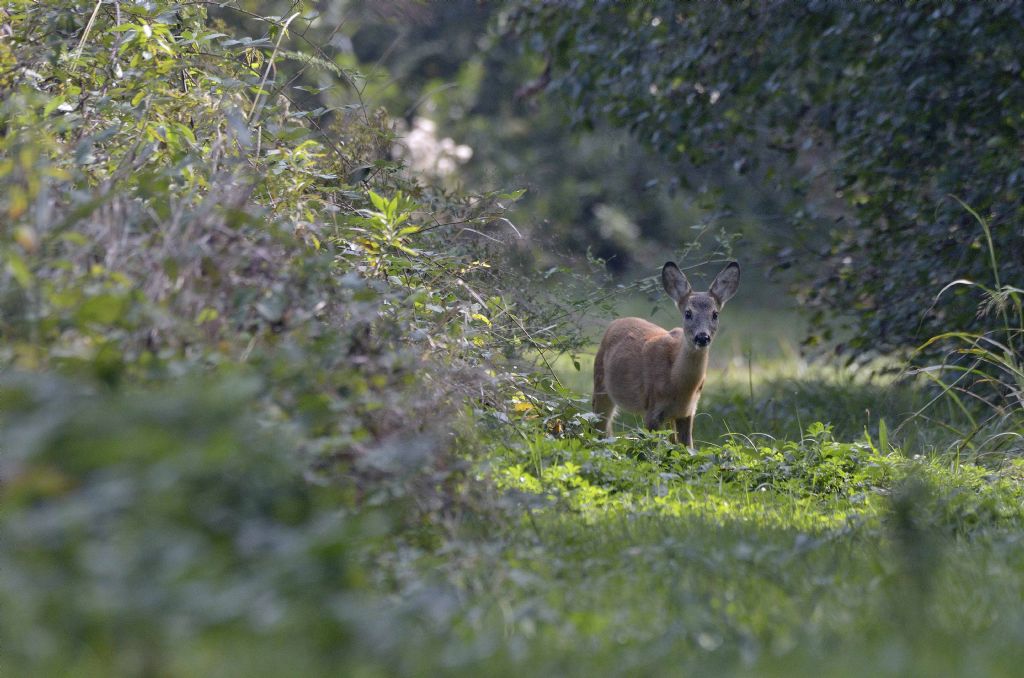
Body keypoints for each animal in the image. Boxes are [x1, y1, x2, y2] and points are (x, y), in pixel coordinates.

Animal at [589, 262, 741, 448]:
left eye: (715, 314)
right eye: (688, 313)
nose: (702, 337)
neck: (677, 383)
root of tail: (615, 322)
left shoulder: (688, 412)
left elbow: (687, 447)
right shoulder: (653, 409)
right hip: (600, 385)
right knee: (599, 427)